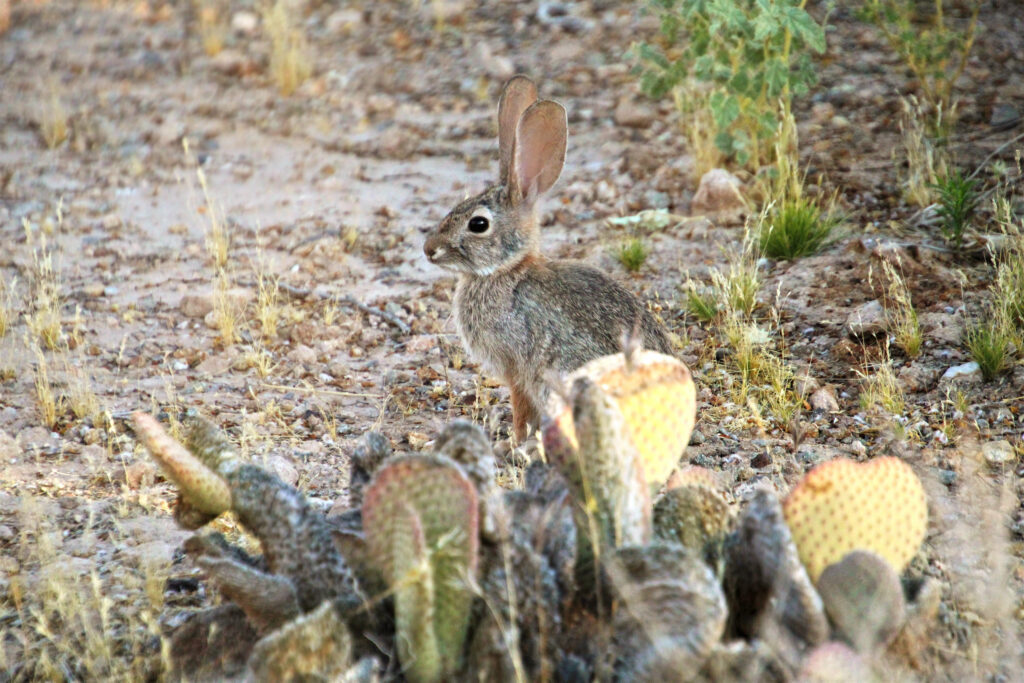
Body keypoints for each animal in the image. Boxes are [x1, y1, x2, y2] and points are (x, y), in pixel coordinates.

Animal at [423, 75, 673, 442]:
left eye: (478, 224)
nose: (429, 249)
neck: (505, 271)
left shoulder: (516, 365)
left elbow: (520, 405)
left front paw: (514, 440)